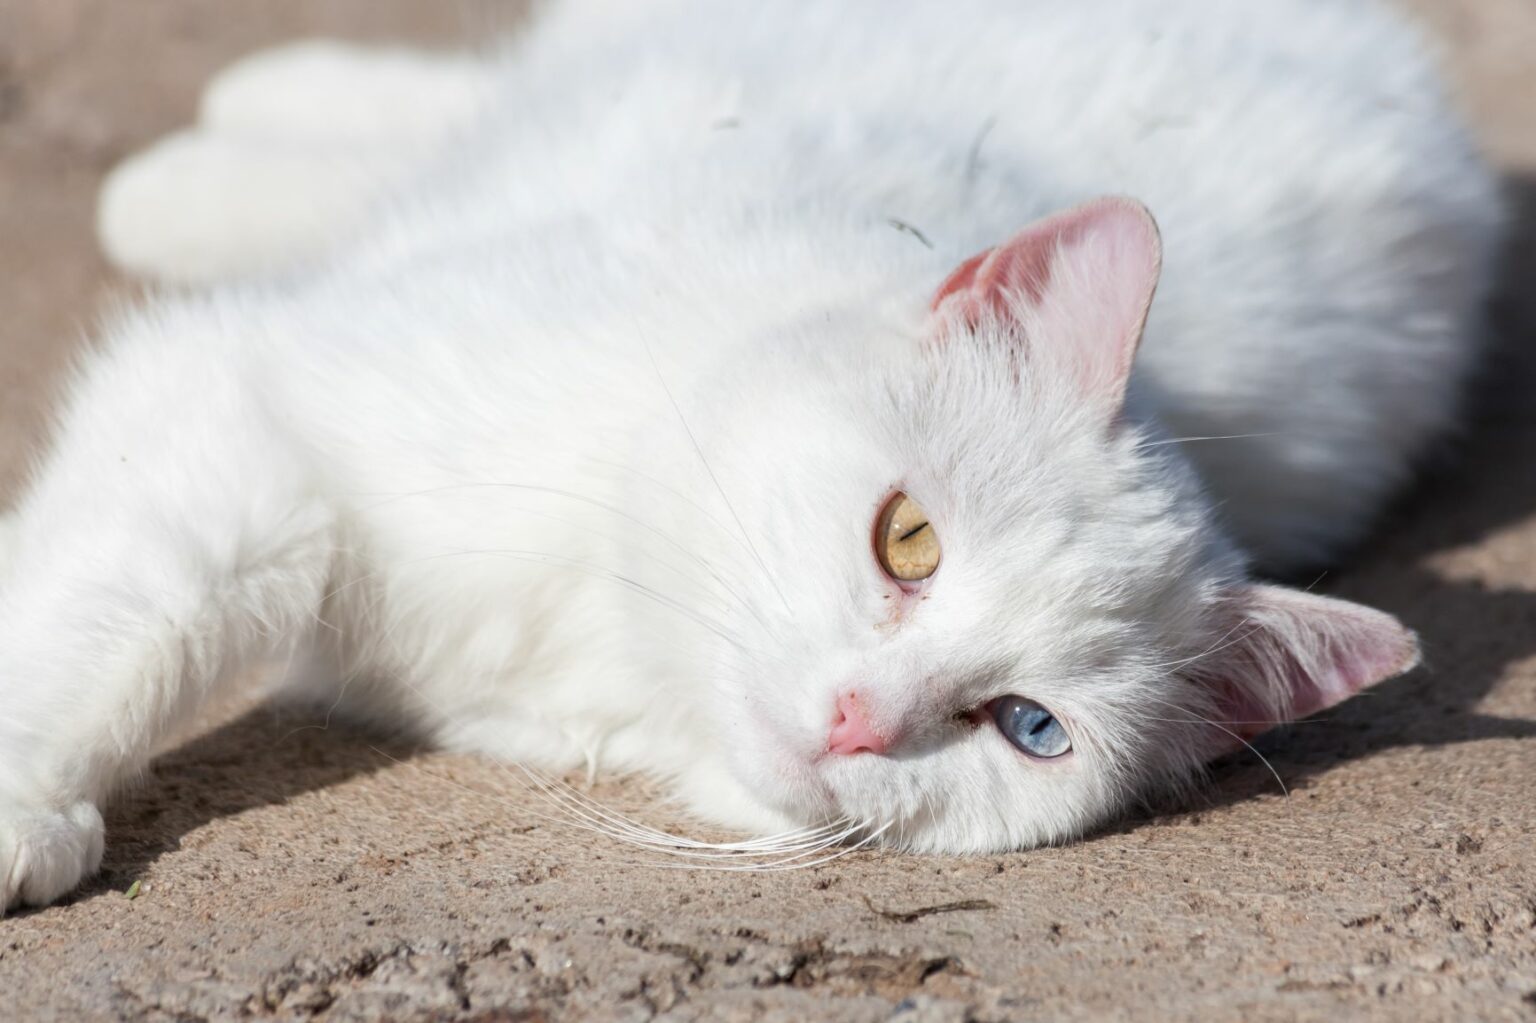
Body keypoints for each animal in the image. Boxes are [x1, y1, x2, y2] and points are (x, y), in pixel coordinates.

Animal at [0, 0, 1492, 909]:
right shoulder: (243, 403)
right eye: (908, 538)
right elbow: (122, 613)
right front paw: (22, 798)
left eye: (1028, 727)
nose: (859, 718)